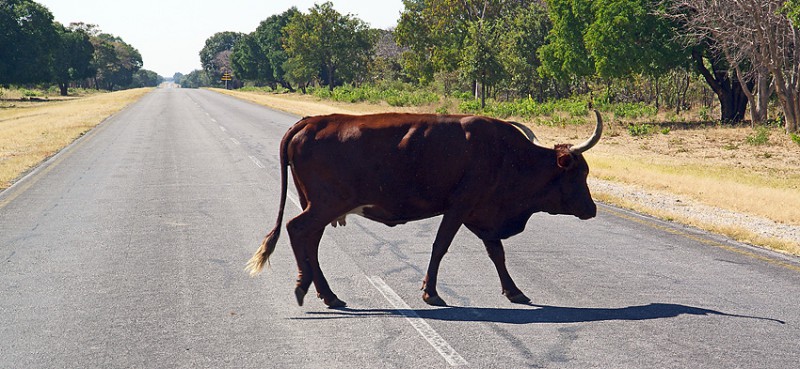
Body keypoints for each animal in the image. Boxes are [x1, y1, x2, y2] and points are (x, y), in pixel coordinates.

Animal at [247, 110, 604, 306]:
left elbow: (497, 252)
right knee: (296, 230)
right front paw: (430, 292)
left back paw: (326, 293)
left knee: (310, 242)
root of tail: (314, 121)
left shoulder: (480, 213)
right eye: (579, 173)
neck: (507, 155)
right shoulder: (461, 206)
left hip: (321, 207)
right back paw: (305, 286)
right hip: (324, 205)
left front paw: (514, 290)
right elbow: (440, 246)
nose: (592, 209)